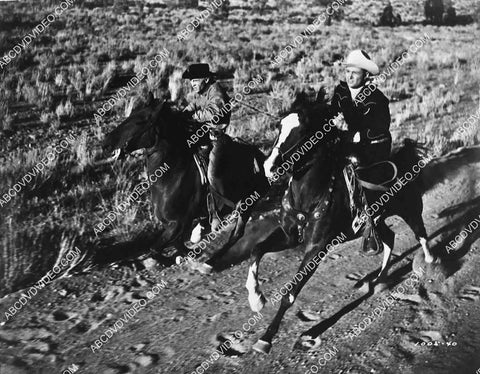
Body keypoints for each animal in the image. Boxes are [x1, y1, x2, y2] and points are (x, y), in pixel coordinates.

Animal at [103, 94, 268, 272]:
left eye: (140, 120)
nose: (107, 141)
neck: (170, 177)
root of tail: (259, 156)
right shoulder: (176, 225)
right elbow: (175, 246)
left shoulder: (178, 223)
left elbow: (156, 249)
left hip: (247, 204)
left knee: (236, 234)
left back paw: (209, 263)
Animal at [246, 92, 436, 352]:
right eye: (279, 126)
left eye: (303, 131)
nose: (270, 167)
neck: (309, 196)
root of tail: (405, 156)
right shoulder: (288, 236)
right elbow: (257, 250)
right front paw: (256, 299)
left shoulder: (316, 249)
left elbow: (290, 294)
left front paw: (265, 338)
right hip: (378, 221)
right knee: (390, 238)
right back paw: (378, 281)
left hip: (410, 210)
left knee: (421, 234)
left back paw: (430, 263)